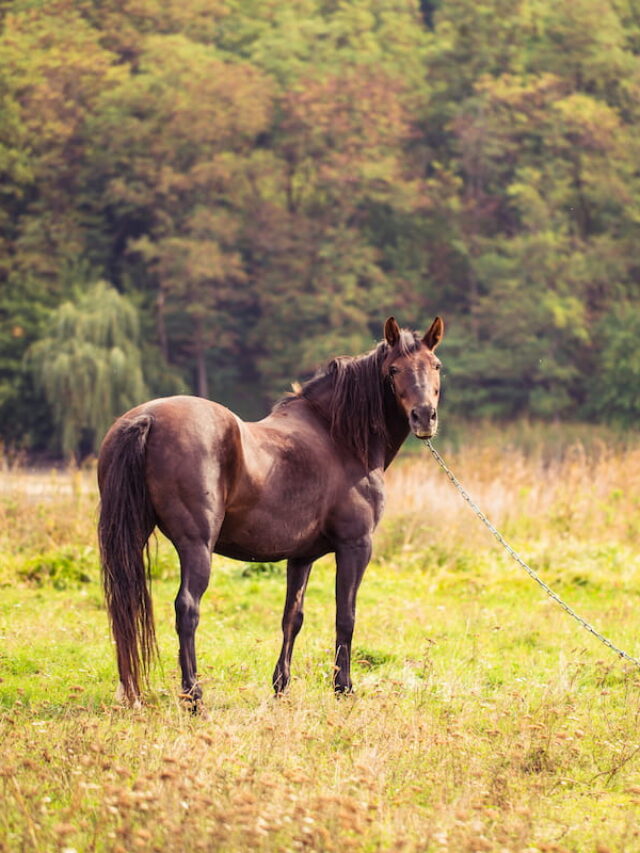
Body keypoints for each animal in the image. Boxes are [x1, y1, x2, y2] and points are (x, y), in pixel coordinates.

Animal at [97, 315, 444, 705]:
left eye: (435, 366)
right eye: (394, 369)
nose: (424, 417)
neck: (338, 437)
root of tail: (148, 418)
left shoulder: (301, 557)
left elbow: (292, 617)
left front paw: (281, 686)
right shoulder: (356, 546)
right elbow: (346, 615)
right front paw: (343, 687)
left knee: (124, 606)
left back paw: (131, 692)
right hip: (196, 546)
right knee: (187, 608)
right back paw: (194, 696)